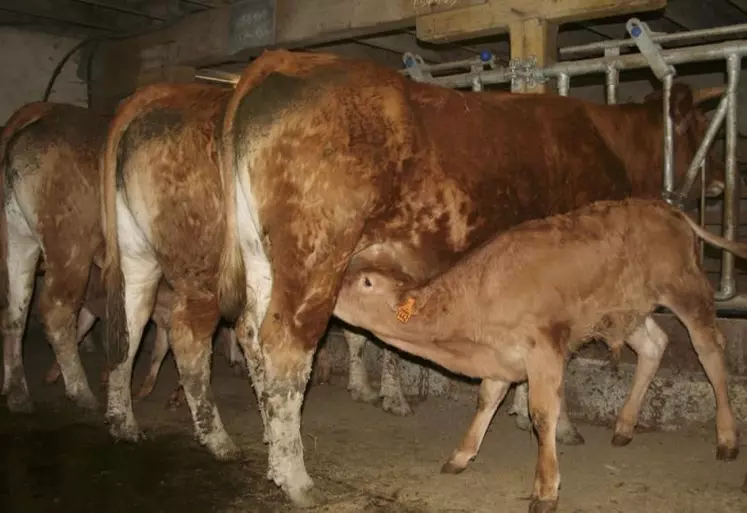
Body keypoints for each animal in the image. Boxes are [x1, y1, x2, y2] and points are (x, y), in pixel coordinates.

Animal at [334, 197, 744, 512]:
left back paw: (726, 439)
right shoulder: (500, 354)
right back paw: (624, 426)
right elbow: (486, 401)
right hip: (627, 310)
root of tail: (668, 208)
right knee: (653, 345)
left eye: (366, 282)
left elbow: (543, 415)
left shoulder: (544, 349)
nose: (331, 293)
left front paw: (545, 489)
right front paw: (461, 455)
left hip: (686, 290)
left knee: (710, 351)